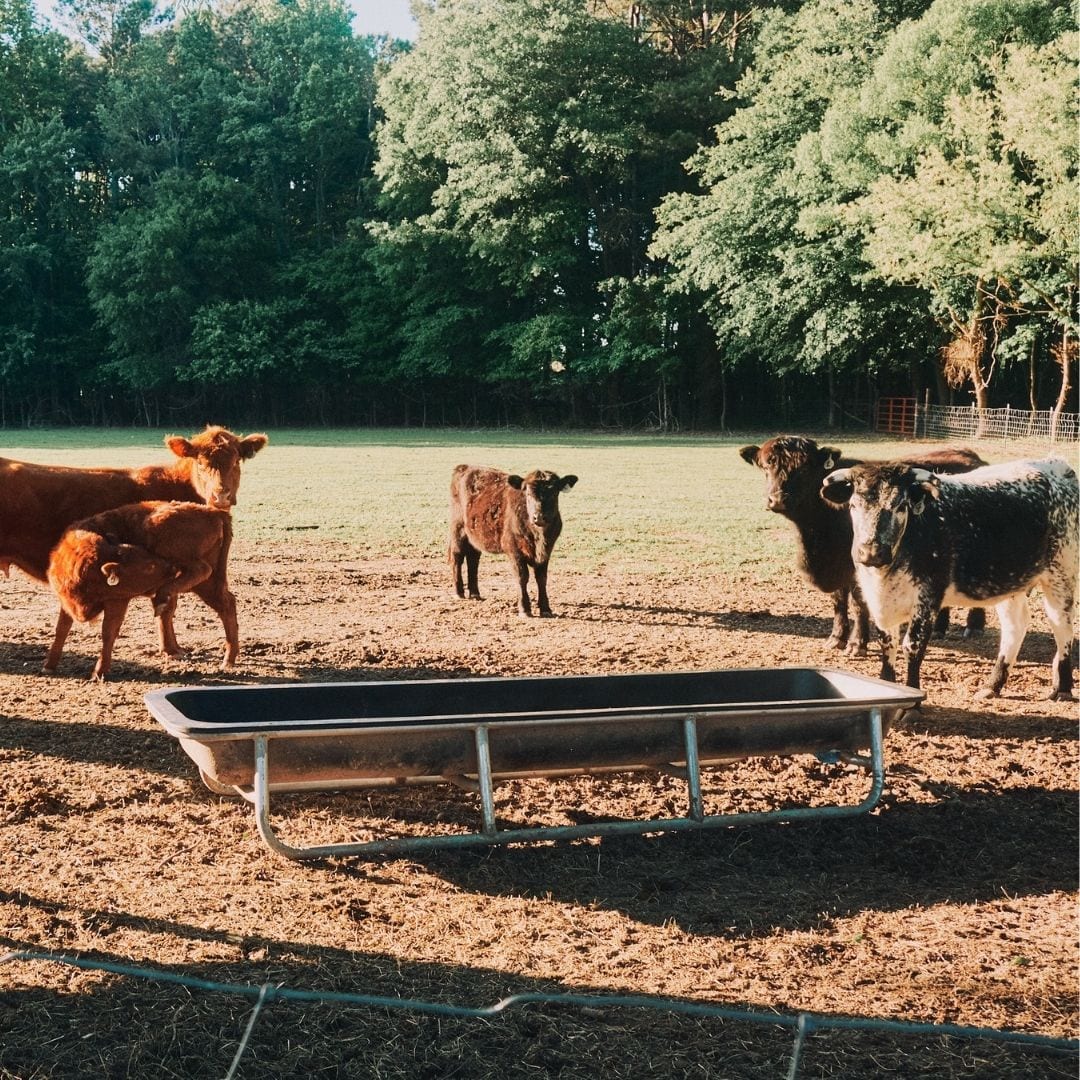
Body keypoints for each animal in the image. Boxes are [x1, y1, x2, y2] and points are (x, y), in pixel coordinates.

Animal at [0, 425, 265, 656]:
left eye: (236, 461)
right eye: (200, 462)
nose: (221, 496)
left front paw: (171, 647)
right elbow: (167, 606)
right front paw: (171, 650)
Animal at [45, 501, 237, 680]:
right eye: (149, 566)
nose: (170, 567)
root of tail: (213, 512)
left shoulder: (118, 600)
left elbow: (108, 632)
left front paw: (98, 673)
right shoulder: (67, 603)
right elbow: (61, 629)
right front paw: (49, 666)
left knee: (202, 571)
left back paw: (163, 597)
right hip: (211, 583)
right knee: (226, 604)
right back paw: (229, 660)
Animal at [449, 465, 577, 617]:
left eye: (554, 493)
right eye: (528, 493)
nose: (539, 517)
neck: (538, 537)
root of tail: (465, 467)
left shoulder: (546, 551)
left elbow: (542, 578)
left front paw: (545, 608)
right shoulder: (514, 550)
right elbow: (522, 577)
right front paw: (525, 609)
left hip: (474, 537)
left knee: (473, 559)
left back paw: (475, 593)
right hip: (458, 529)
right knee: (457, 557)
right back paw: (459, 592)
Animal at [739, 436, 987, 654]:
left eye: (805, 469)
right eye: (766, 466)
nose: (778, 500)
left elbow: (859, 603)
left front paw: (857, 644)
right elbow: (838, 601)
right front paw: (837, 638)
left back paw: (974, 626)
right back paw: (939, 628)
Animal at [821, 458, 1078, 701]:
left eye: (900, 506)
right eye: (853, 505)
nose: (871, 552)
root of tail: (1057, 465)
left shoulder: (928, 599)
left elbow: (912, 646)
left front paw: (912, 694)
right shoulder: (878, 600)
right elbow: (887, 644)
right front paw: (886, 684)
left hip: (1061, 575)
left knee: (1062, 627)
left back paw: (1063, 688)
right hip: (1011, 584)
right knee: (1015, 626)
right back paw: (992, 686)